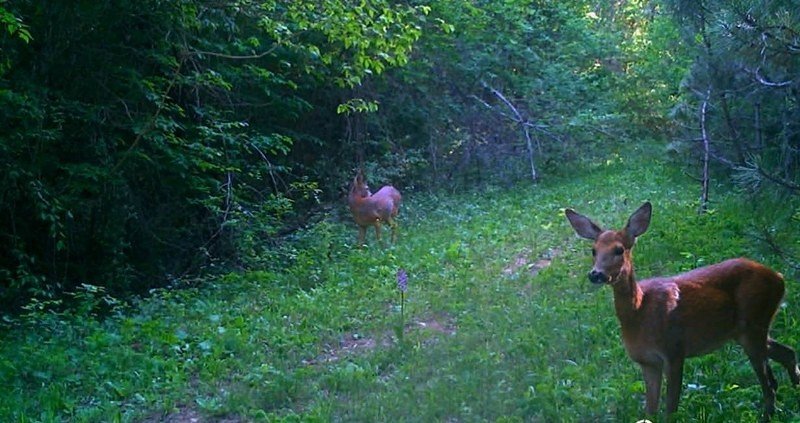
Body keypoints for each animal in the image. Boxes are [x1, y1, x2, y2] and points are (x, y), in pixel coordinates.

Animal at [564, 204, 796, 422]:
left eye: (619, 250)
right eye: (593, 250)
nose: (596, 274)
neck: (640, 314)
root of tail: (779, 277)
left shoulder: (674, 351)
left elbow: (671, 409)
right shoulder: (648, 362)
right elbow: (650, 411)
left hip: (753, 324)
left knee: (769, 383)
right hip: (746, 331)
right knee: (786, 354)